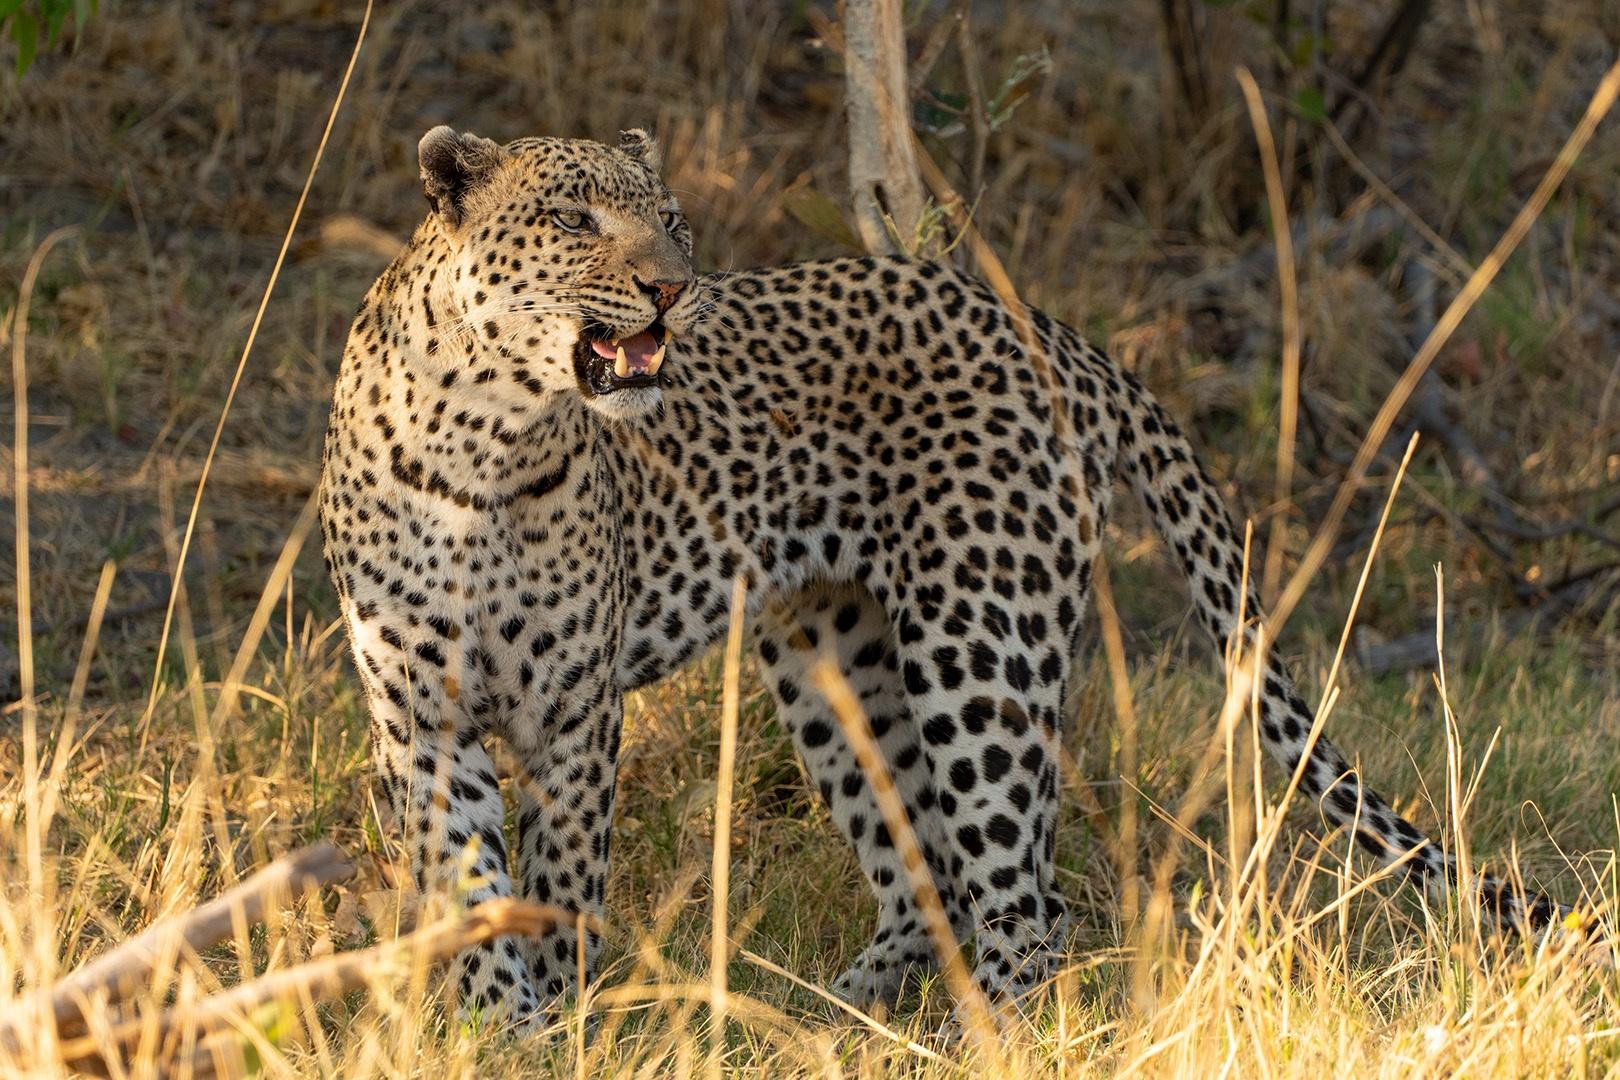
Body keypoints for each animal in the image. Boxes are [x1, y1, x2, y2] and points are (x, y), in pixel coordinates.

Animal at [315, 124, 1568, 1029]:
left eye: (669, 219)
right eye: (575, 219)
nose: (675, 287)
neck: (489, 438)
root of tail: (1055, 332)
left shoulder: (572, 717)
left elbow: (560, 887)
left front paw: (559, 1021)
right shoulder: (422, 720)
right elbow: (469, 886)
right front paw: (501, 1028)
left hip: (980, 645)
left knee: (1027, 904)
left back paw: (981, 1038)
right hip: (837, 662)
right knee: (928, 873)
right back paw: (835, 1020)